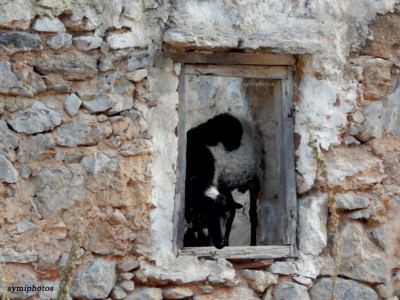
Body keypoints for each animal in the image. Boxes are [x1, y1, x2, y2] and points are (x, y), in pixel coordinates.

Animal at [184, 112, 260, 248]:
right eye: (205, 215)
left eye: (222, 214)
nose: (220, 244)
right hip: (225, 184)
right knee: (234, 208)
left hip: (253, 177)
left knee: (252, 213)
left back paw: (252, 244)